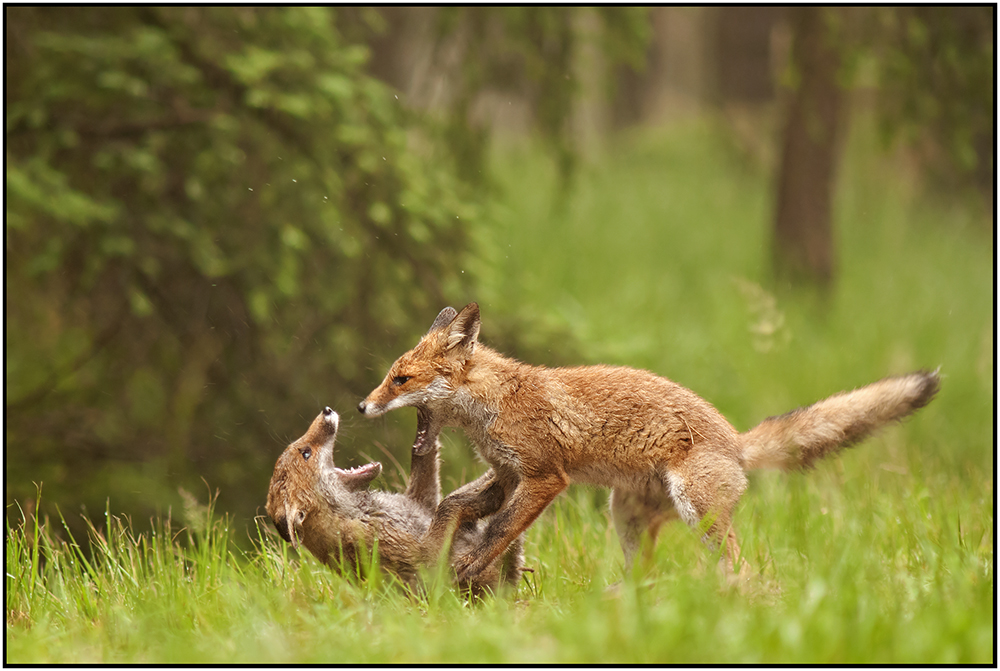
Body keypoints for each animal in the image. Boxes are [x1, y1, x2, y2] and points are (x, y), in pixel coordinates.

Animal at [270, 404, 528, 592]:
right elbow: (449, 505)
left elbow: (422, 460)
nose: (326, 410)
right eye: (306, 453)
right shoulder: (426, 563)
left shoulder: (422, 502)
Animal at [358, 304, 936, 584]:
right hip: (626, 516)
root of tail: (734, 439)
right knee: (645, 572)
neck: (495, 402)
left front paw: (469, 570)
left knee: (739, 567)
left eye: (400, 380)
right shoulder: (507, 474)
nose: (361, 407)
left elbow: (501, 529)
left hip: (699, 512)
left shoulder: (545, 477)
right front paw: (438, 551)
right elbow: (456, 505)